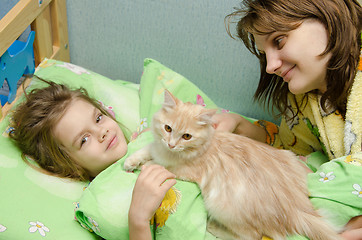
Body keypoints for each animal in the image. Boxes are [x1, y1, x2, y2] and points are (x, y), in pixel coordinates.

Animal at [123, 90, 340, 240]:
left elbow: (156, 164)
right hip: (291, 158)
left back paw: (213, 228)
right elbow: (147, 150)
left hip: (220, 205)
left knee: (252, 236)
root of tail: (297, 210)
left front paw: (142, 167)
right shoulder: (158, 148)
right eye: (168, 128)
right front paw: (130, 161)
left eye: (186, 136)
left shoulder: (181, 170)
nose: (171, 144)